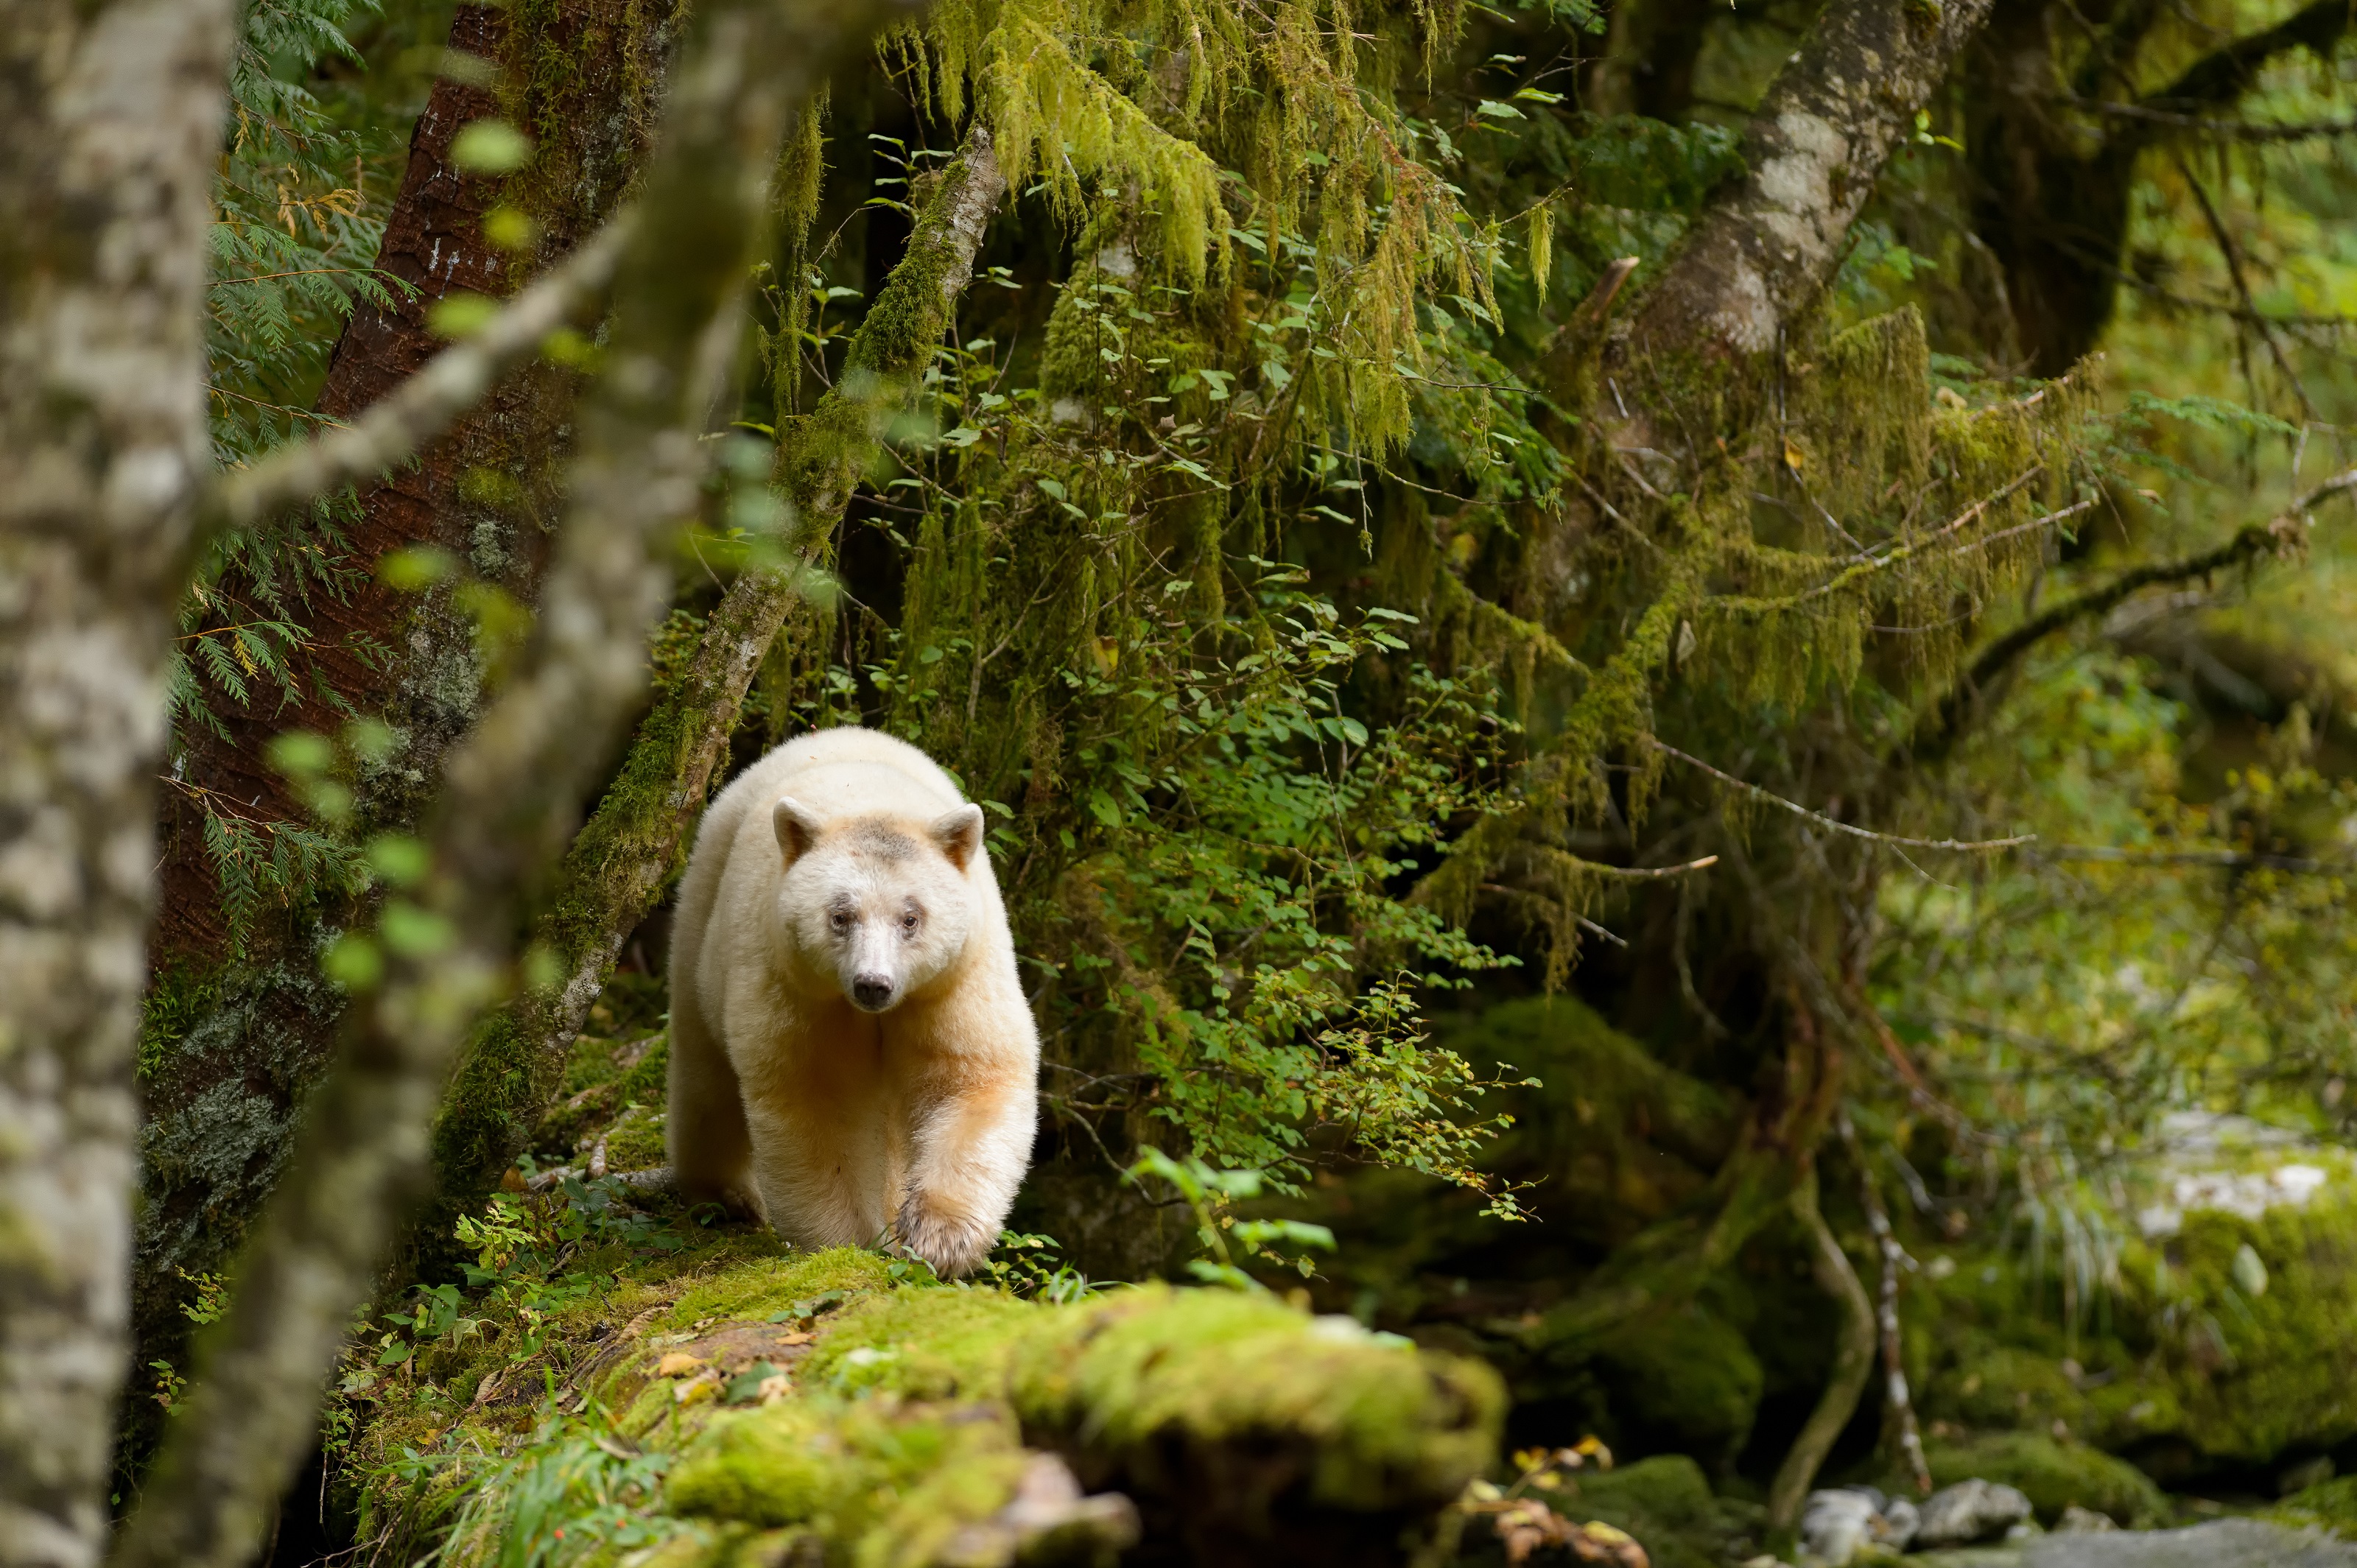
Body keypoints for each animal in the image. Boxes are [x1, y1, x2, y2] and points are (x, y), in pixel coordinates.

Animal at [666, 726, 1038, 1277]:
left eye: (911, 917)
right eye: (841, 915)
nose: (873, 984)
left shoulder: (952, 981)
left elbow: (969, 1079)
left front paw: (938, 1237)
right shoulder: (800, 990)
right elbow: (817, 1104)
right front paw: (849, 1243)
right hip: (704, 917)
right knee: (705, 1074)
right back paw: (725, 1196)